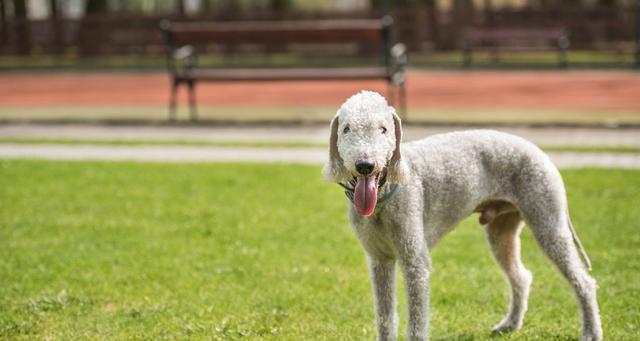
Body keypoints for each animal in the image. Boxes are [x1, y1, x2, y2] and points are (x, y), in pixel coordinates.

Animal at [324, 91, 600, 340]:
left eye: (383, 129)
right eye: (346, 129)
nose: (365, 165)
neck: (385, 194)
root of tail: (539, 150)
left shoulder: (415, 261)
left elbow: (417, 322)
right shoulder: (379, 260)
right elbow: (385, 317)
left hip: (548, 222)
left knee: (584, 283)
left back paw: (591, 332)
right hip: (501, 231)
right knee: (521, 277)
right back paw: (509, 325)